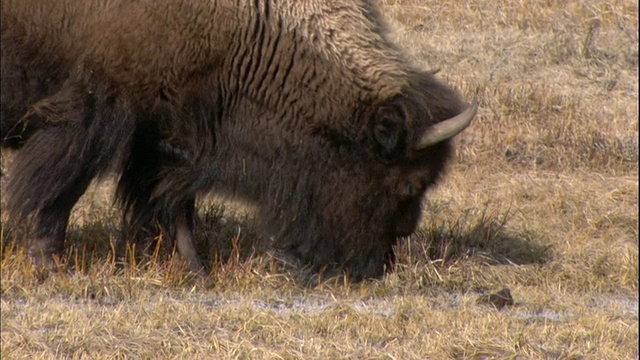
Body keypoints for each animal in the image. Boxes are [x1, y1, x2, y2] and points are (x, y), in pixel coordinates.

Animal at [1, 0, 476, 282]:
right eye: (411, 182)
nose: (380, 267)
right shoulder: (94, 111)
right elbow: (61, 187)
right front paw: (48, 261)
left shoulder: (171, 132)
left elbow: (174, 202)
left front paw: (194, 268)